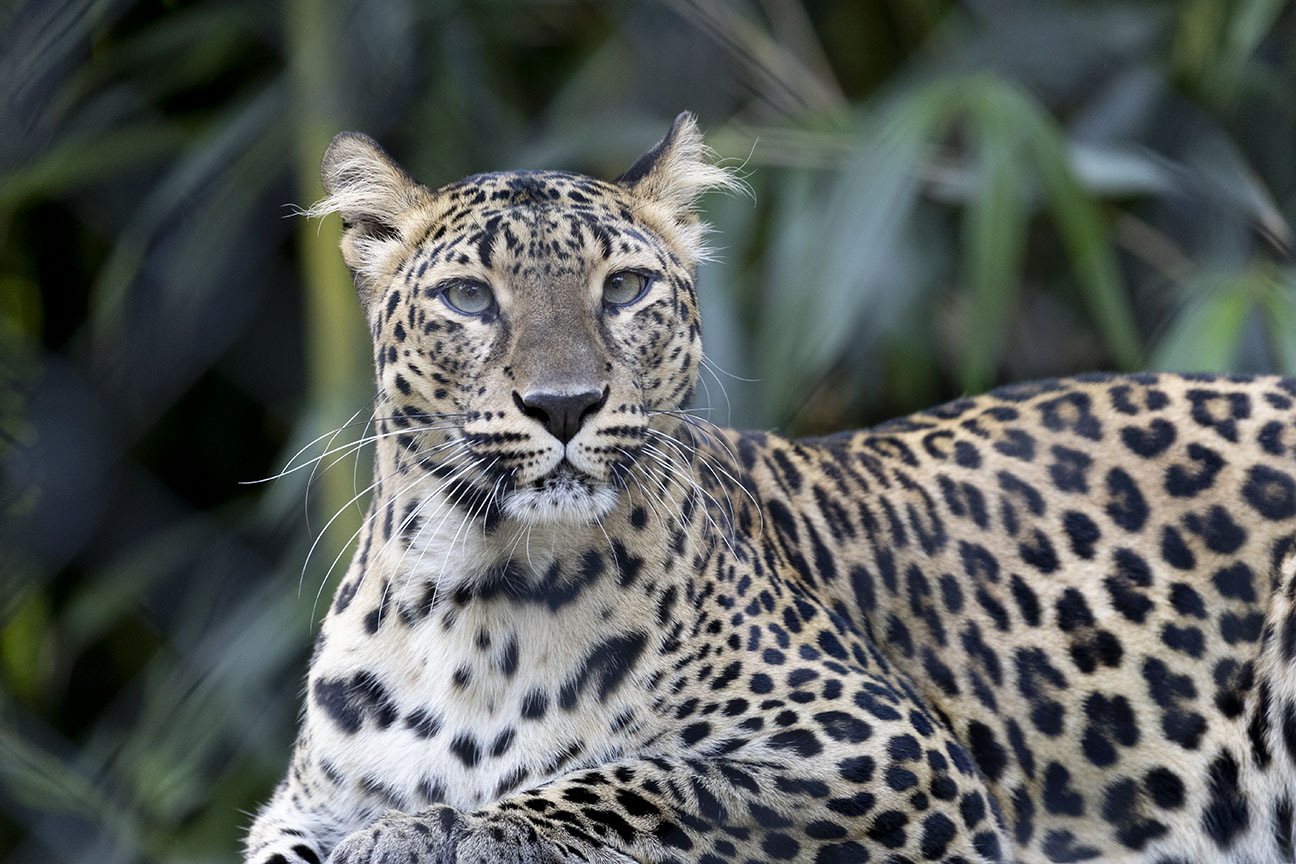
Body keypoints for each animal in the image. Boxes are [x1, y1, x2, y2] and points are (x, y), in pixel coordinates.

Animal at [244, 114, 1296, 864]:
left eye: (623, 289)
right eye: (468, 298)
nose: (564, 405)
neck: (481, 597)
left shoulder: (893, 756)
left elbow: (652, 778)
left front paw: (446, 832)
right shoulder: (297, 808)